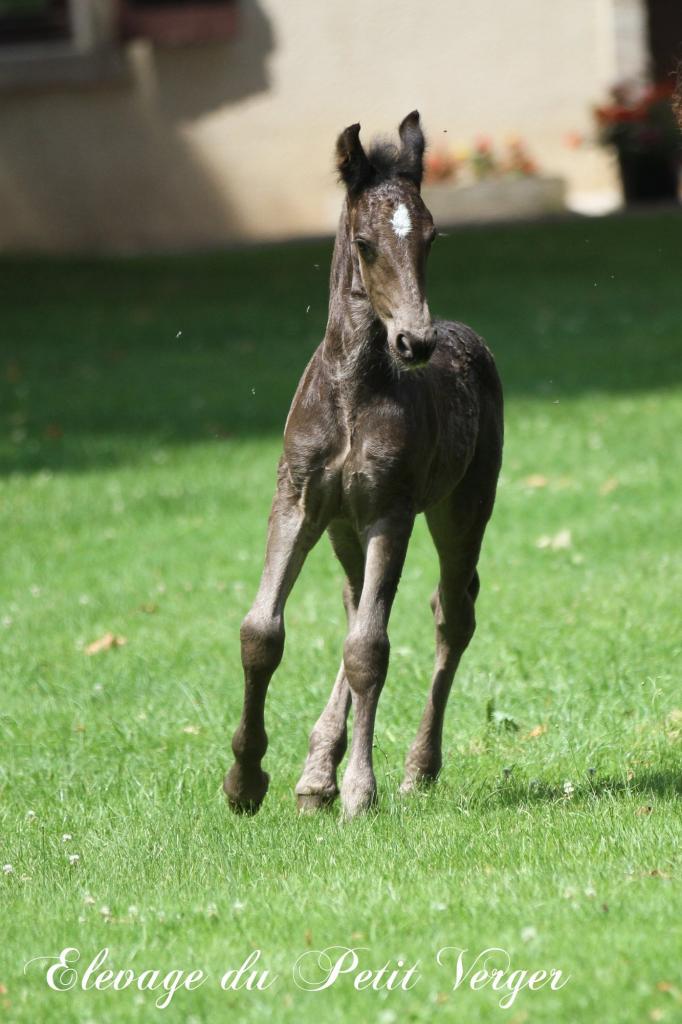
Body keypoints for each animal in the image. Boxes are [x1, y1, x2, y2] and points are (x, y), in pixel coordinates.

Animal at [223, 110, 499, 815]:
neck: (353, 391)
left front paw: (359, 792)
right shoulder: (297, 502)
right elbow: (263, 632)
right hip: (342, 527)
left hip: (462, 509)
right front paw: (246, 780)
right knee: (357, 604)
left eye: (432, 236)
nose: (415, 341)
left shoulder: (389, 512)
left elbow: (370, 650)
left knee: (450, 614)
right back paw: (314, 772)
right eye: (367, 243)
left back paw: (417, 768)